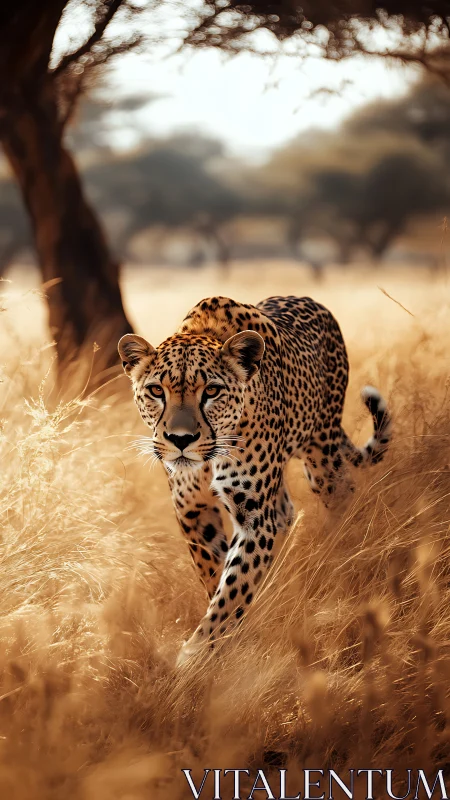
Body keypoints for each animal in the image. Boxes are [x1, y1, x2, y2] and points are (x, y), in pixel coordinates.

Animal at [118, 295, 392, 665]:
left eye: (212, 391)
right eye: (156, 391)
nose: (180, 439)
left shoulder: (254, 518)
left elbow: (232, 589)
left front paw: (194, 659)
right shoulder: (191, 509)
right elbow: (217, 575)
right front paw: (231, 636)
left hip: (322, 454)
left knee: (341, 494)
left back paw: (344, 552)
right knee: (287, 512)